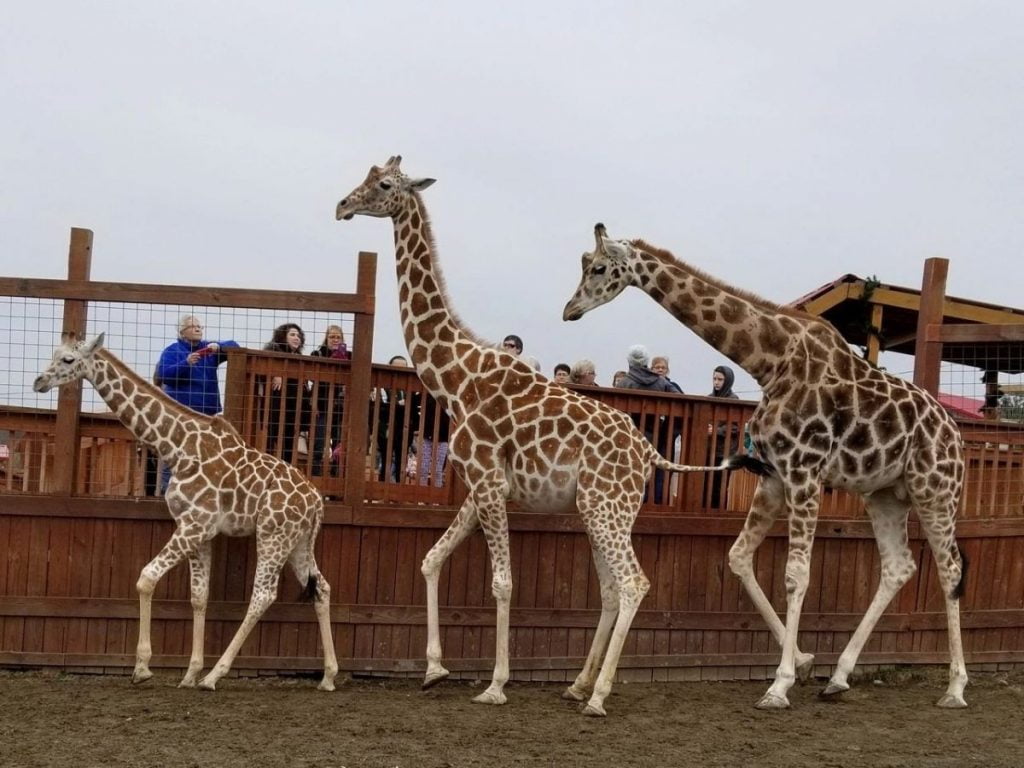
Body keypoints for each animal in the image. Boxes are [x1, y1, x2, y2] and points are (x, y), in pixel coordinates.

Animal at [30, 333, 335, 696]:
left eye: (67, 360)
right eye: (54, 354)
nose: (38, 381)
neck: (178, 448)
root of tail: (316, 501)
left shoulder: (194, 525)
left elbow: (146, 578)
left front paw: (143, 668)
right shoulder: (198, 531)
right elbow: (199, 597)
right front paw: (189, 672)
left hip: (273, 536)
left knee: (263, 595)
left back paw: (215, 676)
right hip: (298, 541)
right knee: (322, 587)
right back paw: (328, 676)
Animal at [335, 159, 753, 720]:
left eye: (382, 185)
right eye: (368, 173)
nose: (342, 206)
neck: (454, 377)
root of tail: (648, 452)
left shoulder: (489, 484)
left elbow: (503, 583)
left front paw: (495, 683)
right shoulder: (479, 487)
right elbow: (430, 559)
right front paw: (434, 669)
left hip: (605, 507)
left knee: (634, 582)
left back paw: (597, 695)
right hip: (604, 510)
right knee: (611, 589)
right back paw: (578, 684)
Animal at [561, 225, 966, 712]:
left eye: (600, 268)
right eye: (583, 264)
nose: (569, 310)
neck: (771, 362)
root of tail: (956, 434)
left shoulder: (806, 471)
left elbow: (796, 575)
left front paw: (780, 684)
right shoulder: (773, 475)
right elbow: (738, 557)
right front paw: (806, 662)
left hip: (935, 490)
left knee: (949, 570)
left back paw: (956, 688)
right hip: (884, 495)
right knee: (898, 567)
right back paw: (839, 676)